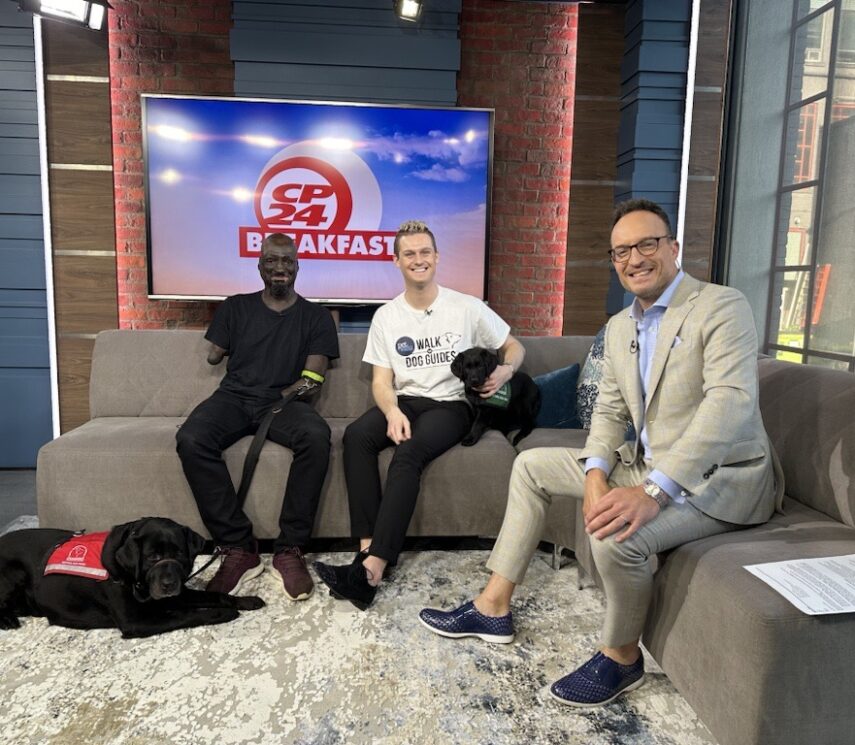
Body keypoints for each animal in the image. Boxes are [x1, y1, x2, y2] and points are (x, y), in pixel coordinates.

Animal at [0, 516, 264, 636]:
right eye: (152, 557)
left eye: (178, 554)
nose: (169, 584)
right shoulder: (136, 621)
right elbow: (187, 615)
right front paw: (223, 613)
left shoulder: (175, 595)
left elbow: (216, 595)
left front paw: (247, 600)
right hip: (14, 573)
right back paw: (7, 620)